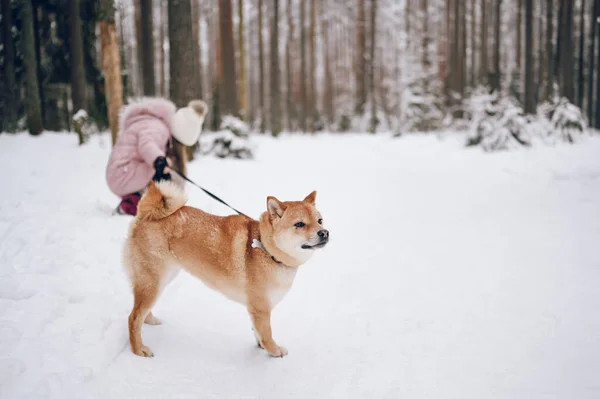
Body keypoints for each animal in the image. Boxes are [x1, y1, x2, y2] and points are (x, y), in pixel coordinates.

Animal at [122, 181, 328, 360]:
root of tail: (144, 214)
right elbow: (267, 333)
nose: (324, 232)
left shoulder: (255, 309)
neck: (267, 249)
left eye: (320, 220)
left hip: (161, 278)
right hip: (153, 280)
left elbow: (257, 331)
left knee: (140, 310)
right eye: (299, 224)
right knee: (133, 317)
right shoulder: (261, 308)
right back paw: (138, 349)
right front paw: (274, 350)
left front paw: (261, 345)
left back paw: (149, 320)